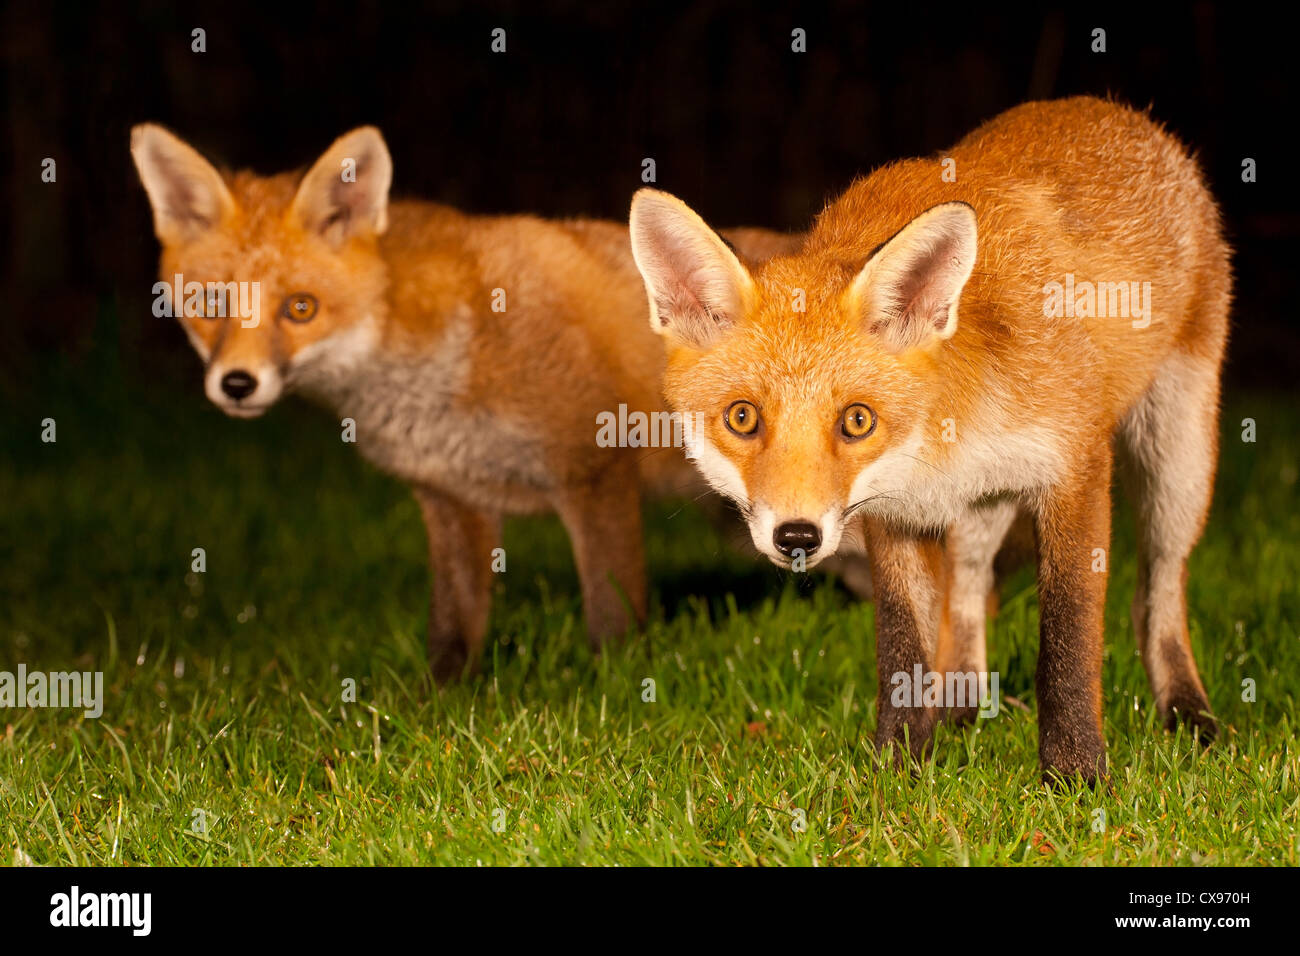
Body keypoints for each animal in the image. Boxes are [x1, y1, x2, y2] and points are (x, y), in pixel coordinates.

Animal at [131, 123, 800, 686]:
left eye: (300, 308)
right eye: (212, 303)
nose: (237, 384)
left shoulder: (594, 473)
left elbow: (612, 614)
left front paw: (613, 690)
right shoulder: (451, 496)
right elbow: (452, 631)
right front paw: (439, 705)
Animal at [634, 98, 1232, 785]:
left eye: (856, 421)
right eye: (742, 418)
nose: (797, 537)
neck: (938, 440)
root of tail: (1122, 112)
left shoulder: (1075, 467)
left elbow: (1068, 643)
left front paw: (1076, 777)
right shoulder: (895, 513)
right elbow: (902, 650)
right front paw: (895, 770)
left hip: (1178, 463)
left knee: (1156, 591)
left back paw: (1187, 712)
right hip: (985, 503)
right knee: (971, 586)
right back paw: (962, 706)